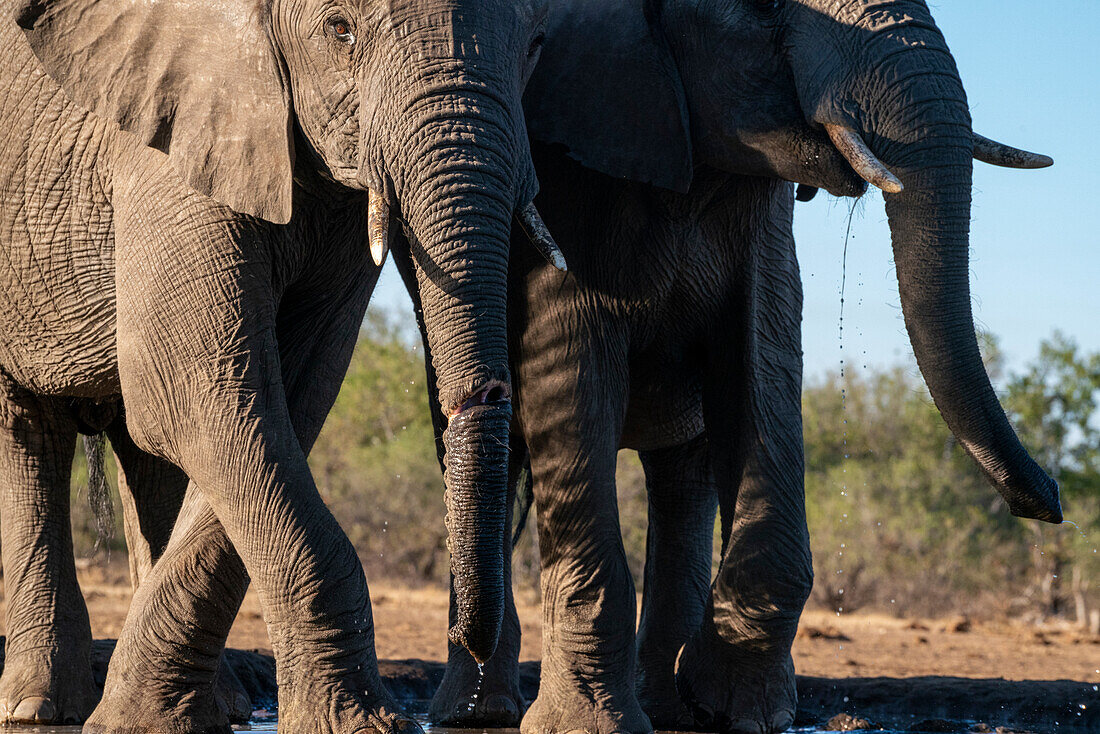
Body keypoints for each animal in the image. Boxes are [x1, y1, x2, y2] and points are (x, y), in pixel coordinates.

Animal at [0, 0, 558, 726]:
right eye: (340, 30)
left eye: (535, 46)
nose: (472, 638)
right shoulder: (173, 136)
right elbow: (198, 391)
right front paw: (361, 724)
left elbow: (284, 396)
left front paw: (139, 717)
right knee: (28, 431)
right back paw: (36, 709)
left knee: (144, 458)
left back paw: (221, 706)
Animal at [391, 1, 1060, 734]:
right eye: (761, 11)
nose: (1049, 503)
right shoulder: (570, 170)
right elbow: (573, 360)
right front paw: (590, 726)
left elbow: (764, 355)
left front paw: (738, 709)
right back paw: (477, 712)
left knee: (684, 475)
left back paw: (672, 710)